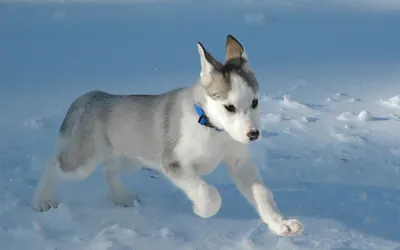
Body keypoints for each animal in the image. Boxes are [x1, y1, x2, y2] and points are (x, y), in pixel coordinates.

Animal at [33, 35, 304, 236]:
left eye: (255, 102)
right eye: (229, 107)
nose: (253, 134)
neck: (211, 128)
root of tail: (92, 96)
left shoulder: (239, 162)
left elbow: (262, 194)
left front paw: (281, 224)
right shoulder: (173, 163)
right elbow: (208, 194)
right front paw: (201, 210)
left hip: (131, 156)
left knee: (108, 170)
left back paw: (121, 198)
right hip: (82, 161)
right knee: (53, 163)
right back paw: (43, 201)